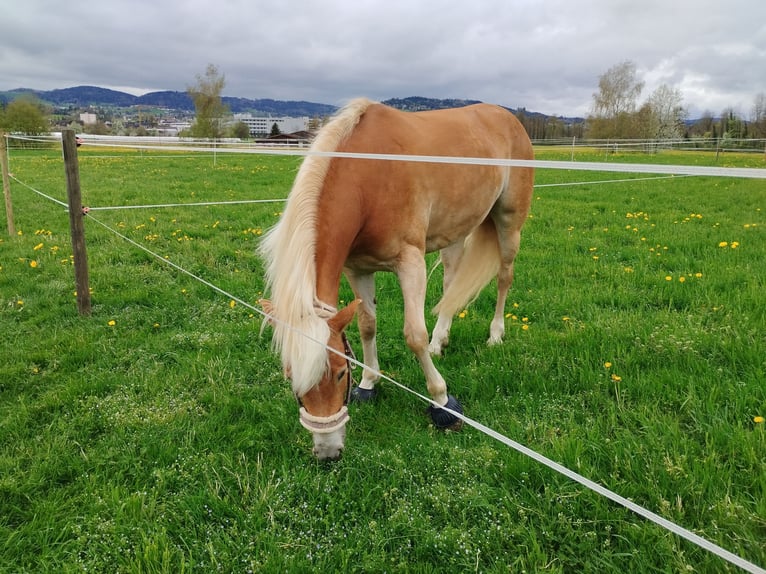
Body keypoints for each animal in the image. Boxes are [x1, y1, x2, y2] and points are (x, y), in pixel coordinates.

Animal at [258, 97, 536, 462]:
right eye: (290, 377)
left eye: (340, 373)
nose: (328, 451)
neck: (368, 178)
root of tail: (508, 118)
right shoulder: (358, 269)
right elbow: (367, 325)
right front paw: (369, 384)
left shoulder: (410, 263)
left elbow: (413, 335)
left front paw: (443, 402)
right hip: (456, 230)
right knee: (451, 284)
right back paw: (440, 341)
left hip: (509, 223)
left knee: (504, 277)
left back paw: (495, 335)